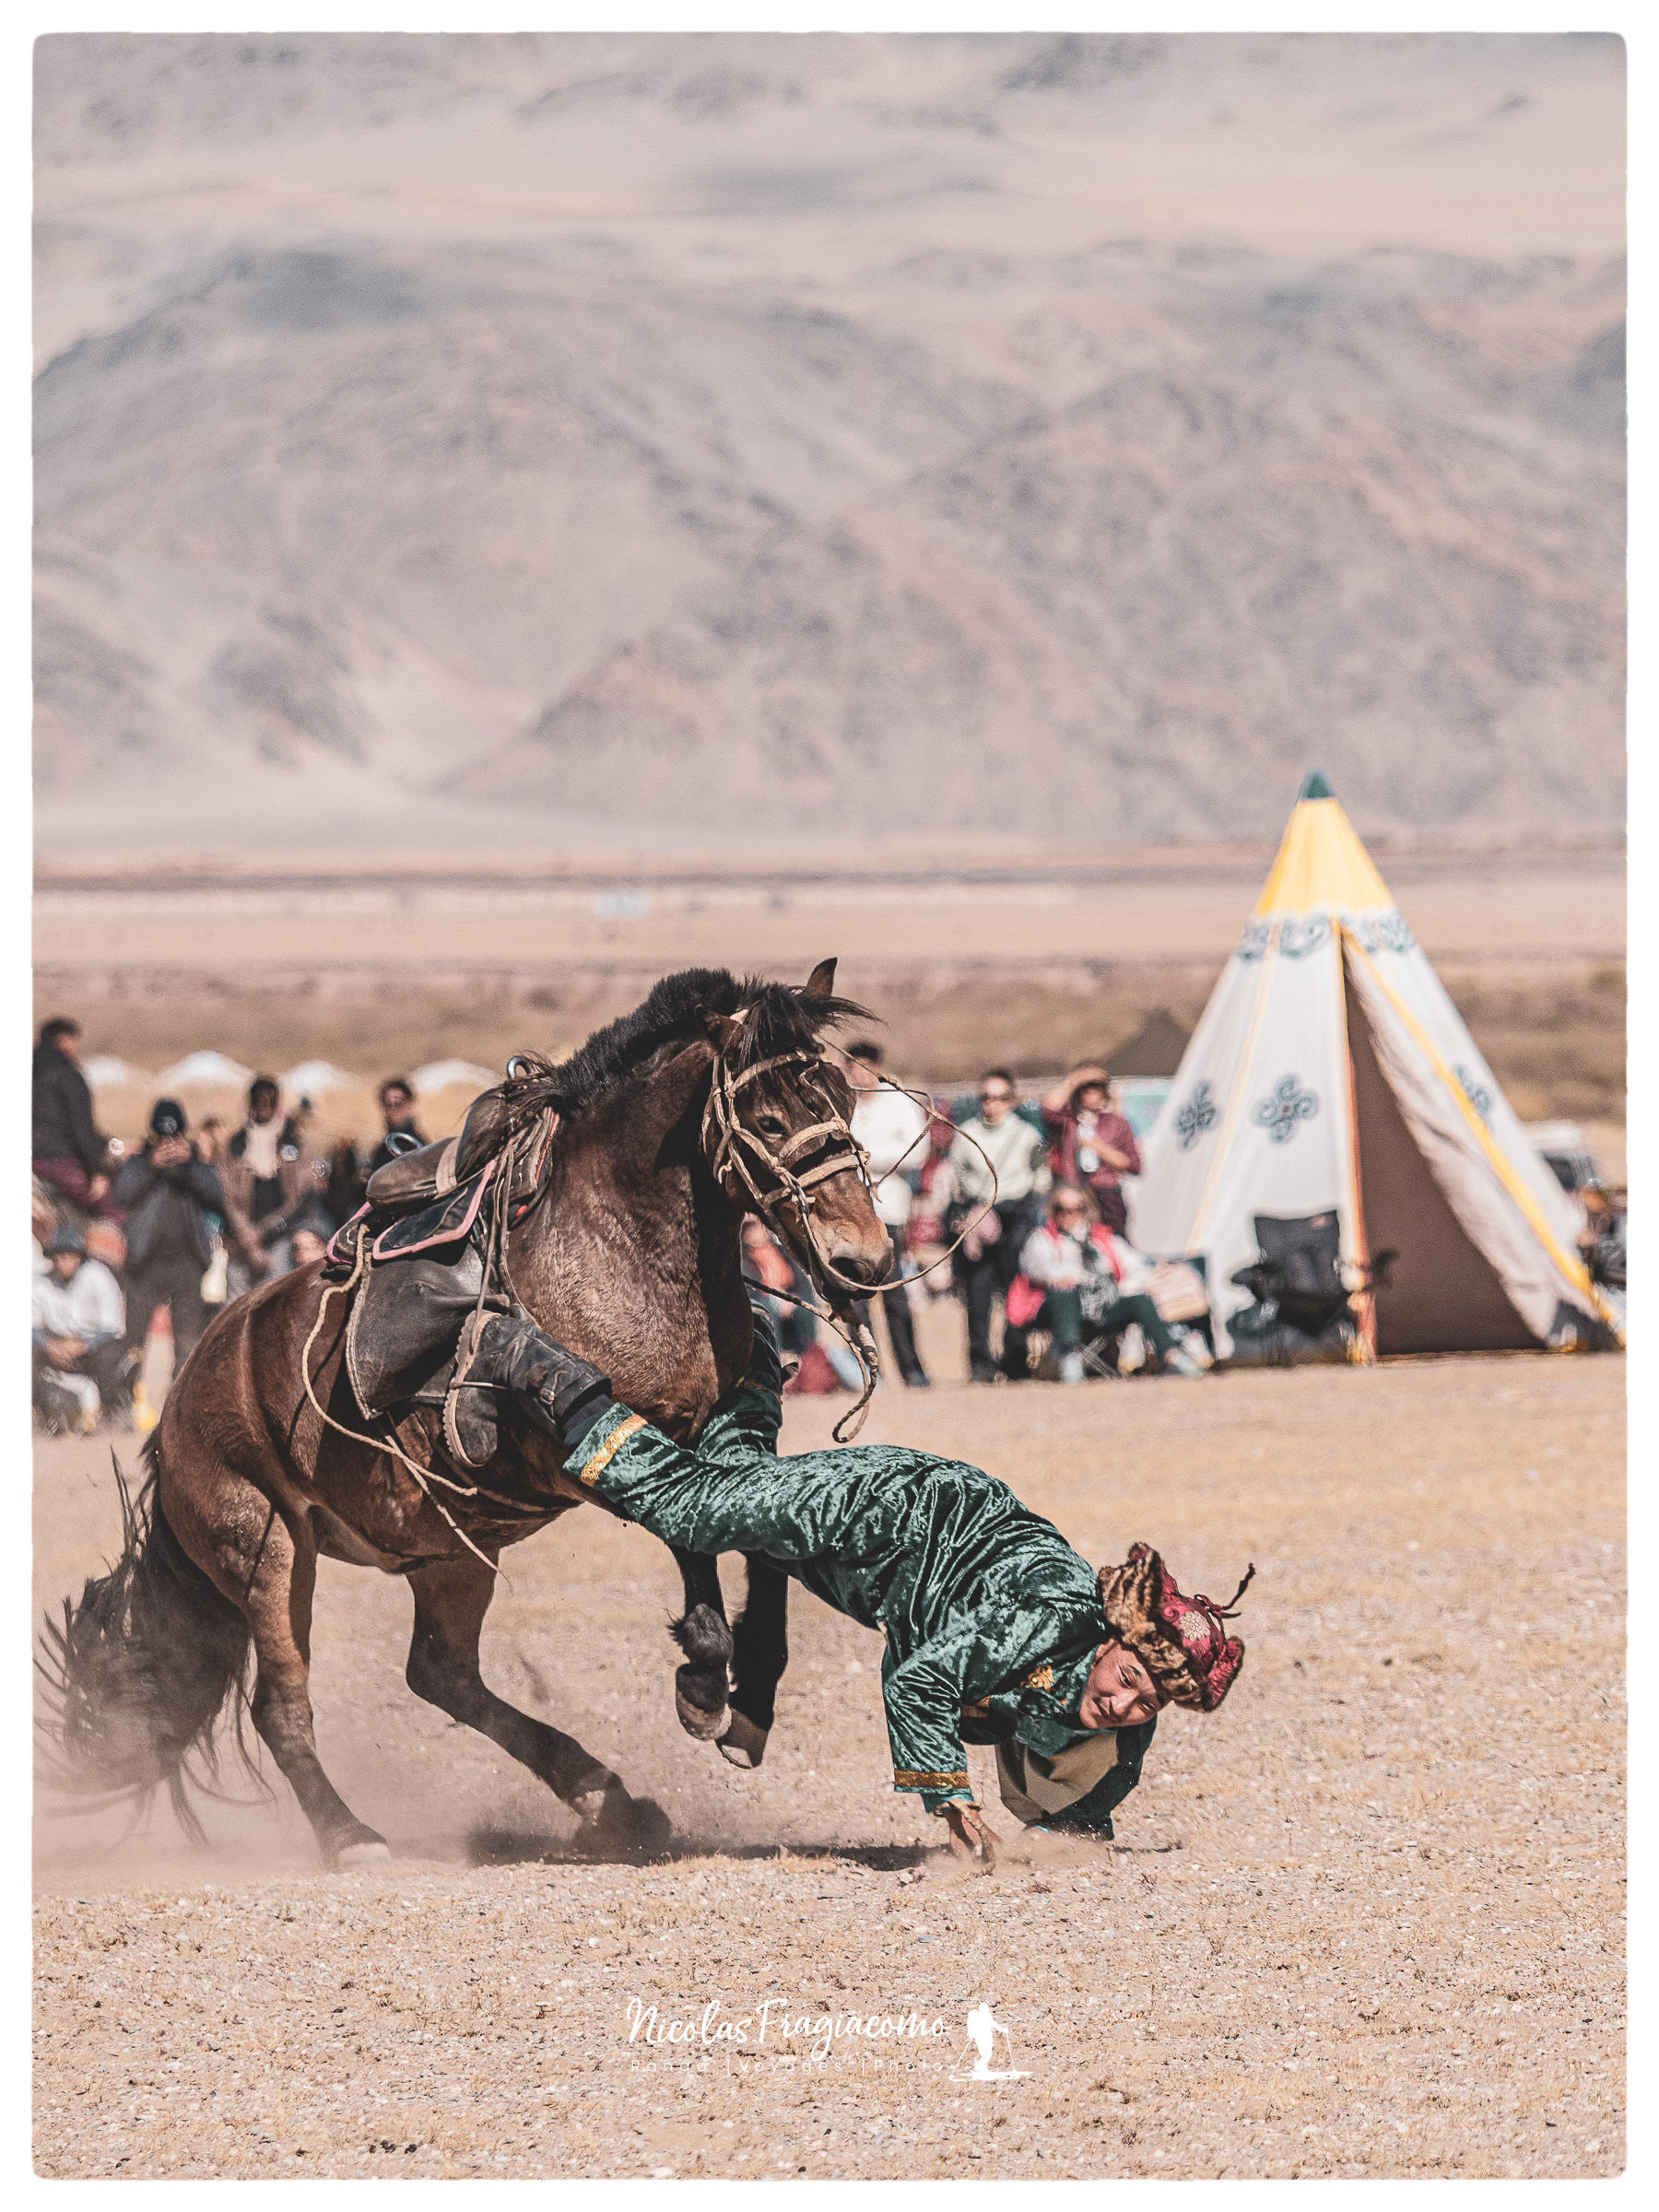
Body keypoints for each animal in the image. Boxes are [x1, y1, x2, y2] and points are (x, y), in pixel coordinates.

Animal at [42, 963, 894, 1867]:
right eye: (768, 1117)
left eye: (845, 1095)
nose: (865, 1258)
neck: (618, 1244)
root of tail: (173, 1414)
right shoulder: (584, 1455)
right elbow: (700, 1543)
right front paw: (703, 1684)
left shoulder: (722, 1435)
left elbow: (763, 1540)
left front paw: (749, 1701)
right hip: (264, 1549)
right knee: (282, 1706)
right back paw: (352, 1835)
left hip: (447, 1552)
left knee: (440, 1674)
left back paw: (606, 1797)